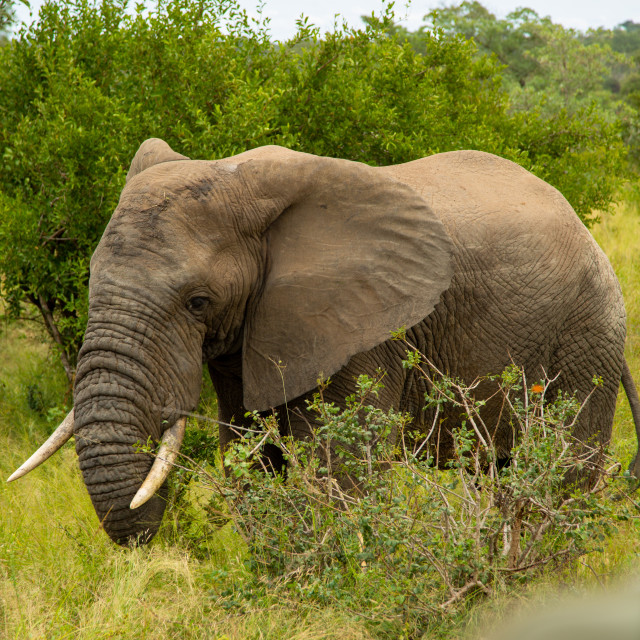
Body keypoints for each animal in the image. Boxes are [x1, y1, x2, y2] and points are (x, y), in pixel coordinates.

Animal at [8, 136, 640, 544]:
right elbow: (253, 460)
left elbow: (340, 472)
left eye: (198, 302)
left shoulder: (362, 330)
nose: (145, 538)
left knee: (562, 475)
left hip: (588, 336)